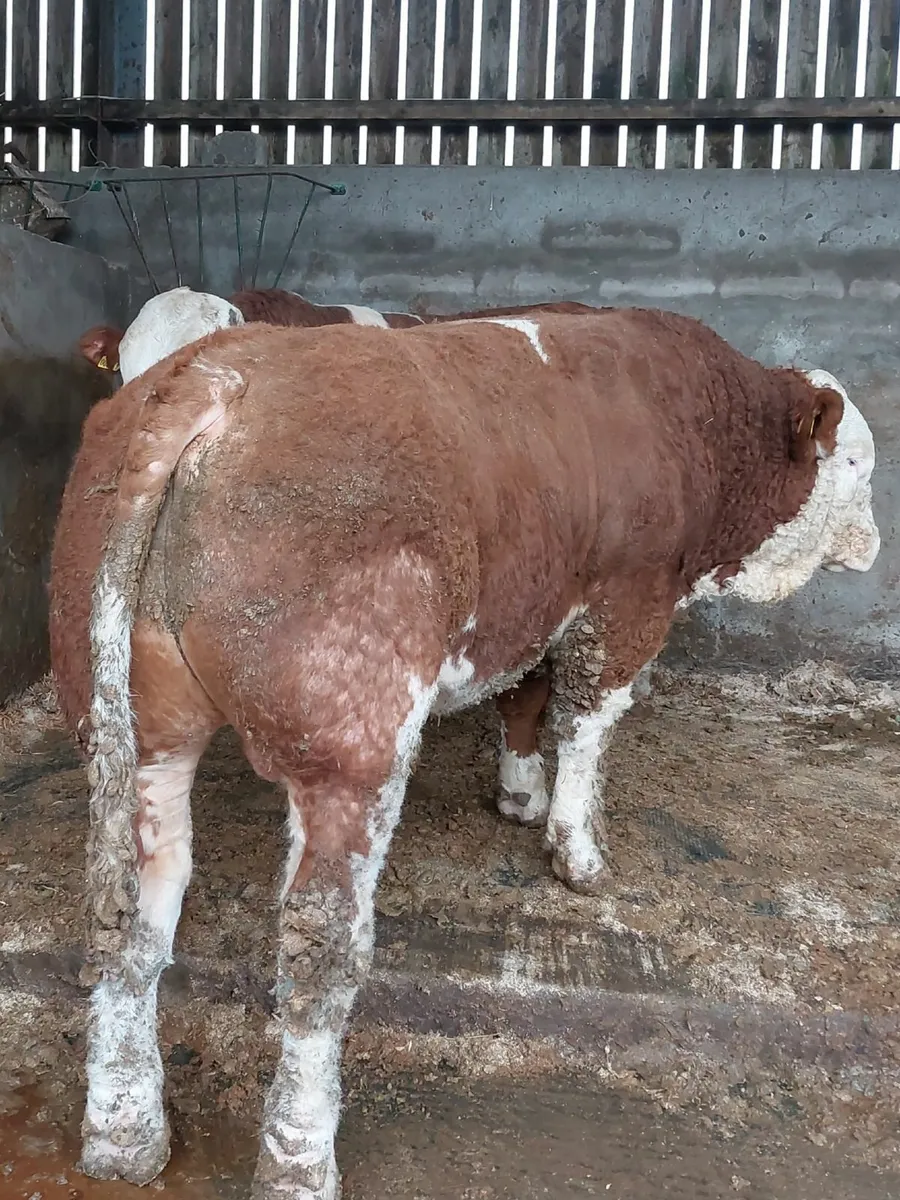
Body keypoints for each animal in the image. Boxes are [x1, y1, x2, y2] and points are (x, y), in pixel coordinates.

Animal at [49, 309, 878, 1198]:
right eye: (856, 462)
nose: (872, 549)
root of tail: (217, 372)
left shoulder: (540, 601)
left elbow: (524, 698)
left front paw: (520, 794)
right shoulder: (629, 598)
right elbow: (588, 723)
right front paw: (578, 850)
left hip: (138, 734)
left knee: (129, 917)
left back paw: (124, 1133)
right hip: (353, 744)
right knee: (318, 946)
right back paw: (299, 1158)